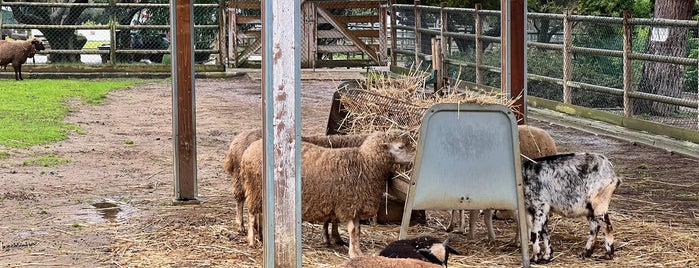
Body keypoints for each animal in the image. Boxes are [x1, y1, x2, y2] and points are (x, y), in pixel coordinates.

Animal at [241, 130, 416, 258]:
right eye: (401, 147)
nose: (413, 160)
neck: (364, 164)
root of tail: (250, 149)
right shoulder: (347, 205)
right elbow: (352, 230)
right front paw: (353, 253)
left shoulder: (356, 205)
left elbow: (357, 231)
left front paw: (358, 251)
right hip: (254, 189)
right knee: (251, 214)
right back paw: (251, 240)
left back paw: (262, 236)